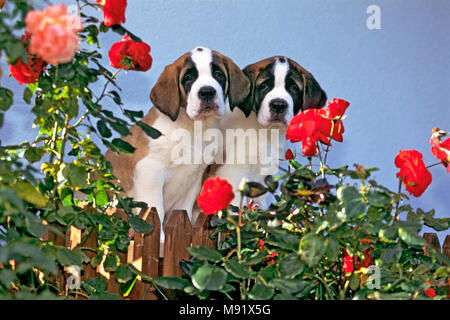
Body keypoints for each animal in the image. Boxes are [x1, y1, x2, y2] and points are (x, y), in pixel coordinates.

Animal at [105, 47, 250, 241]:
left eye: (219, 75)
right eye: (188, 78)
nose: (207, 92)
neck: (193, 128)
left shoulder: (193, 180)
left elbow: (184, 212)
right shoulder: (149, 172)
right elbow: (155, 210)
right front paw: (161, 241)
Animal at [195, 57, 326, 215]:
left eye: (293, 88)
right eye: (264, 87)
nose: (278, 105)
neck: (264, 132)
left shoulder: (263, 180)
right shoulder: (233, 173)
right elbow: (235, 208)